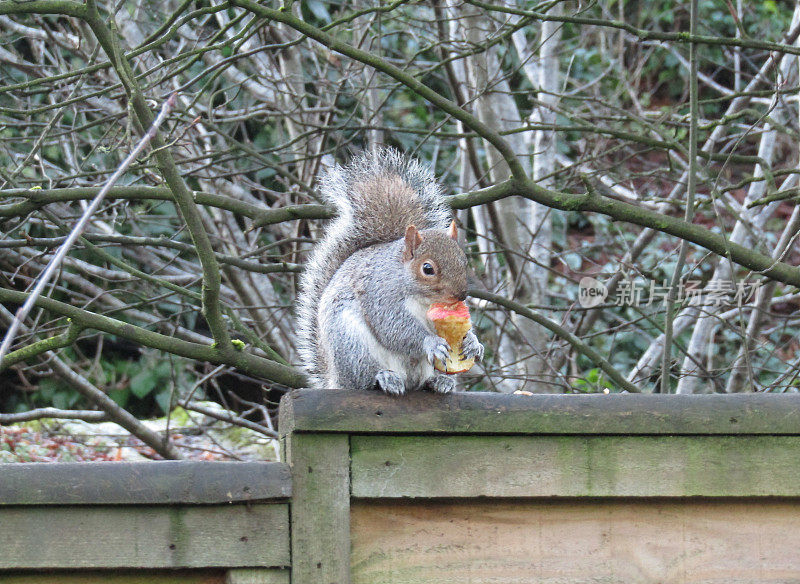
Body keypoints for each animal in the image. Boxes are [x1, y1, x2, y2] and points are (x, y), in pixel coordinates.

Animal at [294, 148, 482, 394]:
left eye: (463, 260)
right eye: (427, 268)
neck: (423, 298)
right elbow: (393, 327)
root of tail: (336, 379)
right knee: (364, 379)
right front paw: (430, 342)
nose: (461, 295)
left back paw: (439, 381)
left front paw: (472, 342)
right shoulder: (379, 293)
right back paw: (384, 378)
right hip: (352, 344)